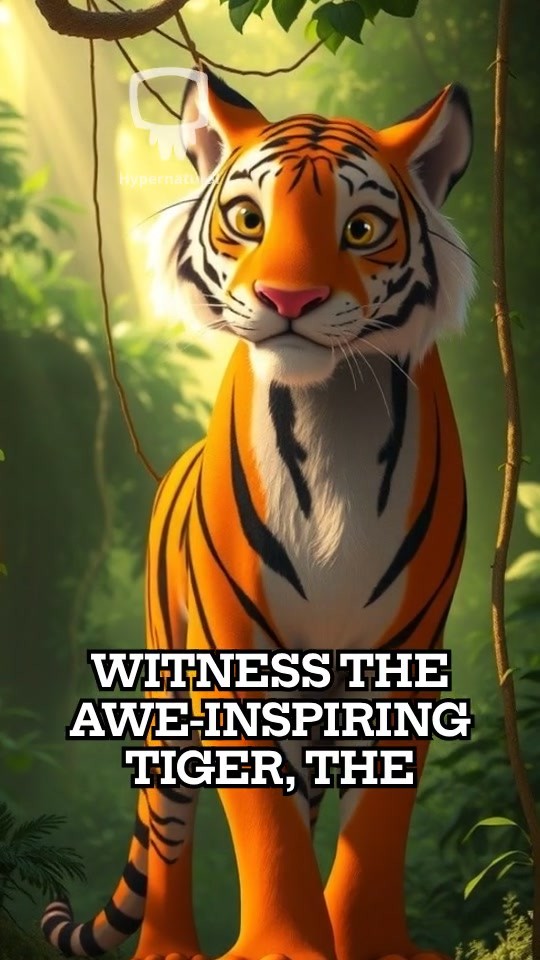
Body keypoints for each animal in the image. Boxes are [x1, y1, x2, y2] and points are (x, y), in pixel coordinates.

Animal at [41, 67, 474, 960]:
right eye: (249, 219)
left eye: (362, 227)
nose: (289, 297)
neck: (333, 415)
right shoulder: (232, 651)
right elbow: (263, 821)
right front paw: (285, 945)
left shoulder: (408, 652)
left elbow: (376, 822)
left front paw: (370, 942)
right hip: (168, 689)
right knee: (169, 830)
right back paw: (168, 947)